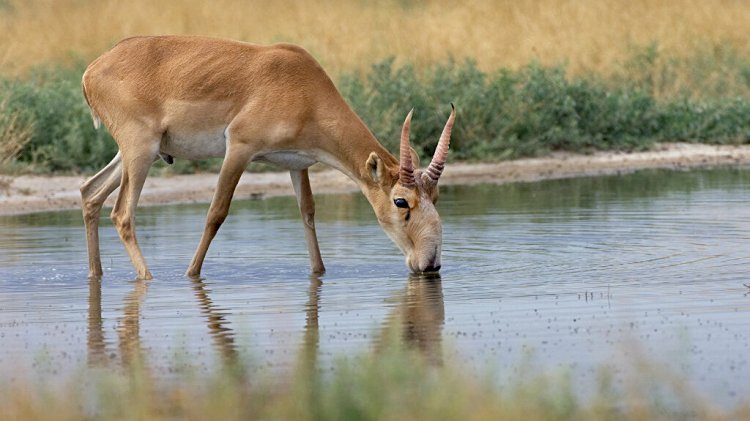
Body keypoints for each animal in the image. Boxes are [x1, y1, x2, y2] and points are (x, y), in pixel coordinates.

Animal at [82, 35, 458, 278]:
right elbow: (216, 213)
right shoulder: (239, 149)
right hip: (140, 151)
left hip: (136, 155)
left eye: (437, 196)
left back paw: (95, 274)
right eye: (400, 201)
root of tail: (91, 70)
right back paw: (148, 278)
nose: (430, 264)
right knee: (122, 214)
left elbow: (308, 213)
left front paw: (319, 271)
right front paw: (191, 274)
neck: (305, 89)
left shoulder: (298, 164)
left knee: (90, 192)